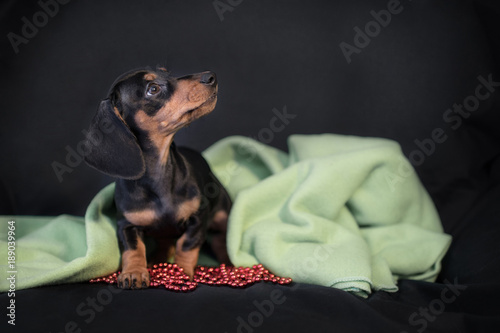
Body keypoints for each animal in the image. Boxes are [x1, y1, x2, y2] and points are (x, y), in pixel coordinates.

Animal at [83, 67, 230, 288]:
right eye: (153, 89)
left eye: (166, 73)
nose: (211, 76)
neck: (159, 175)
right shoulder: (126, 225)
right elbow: (133, 249)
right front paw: (134, 273)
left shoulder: (198, 218)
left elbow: (186, 246)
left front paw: (181, 272)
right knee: (165, 243)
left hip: (221, 213)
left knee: (221, 238)